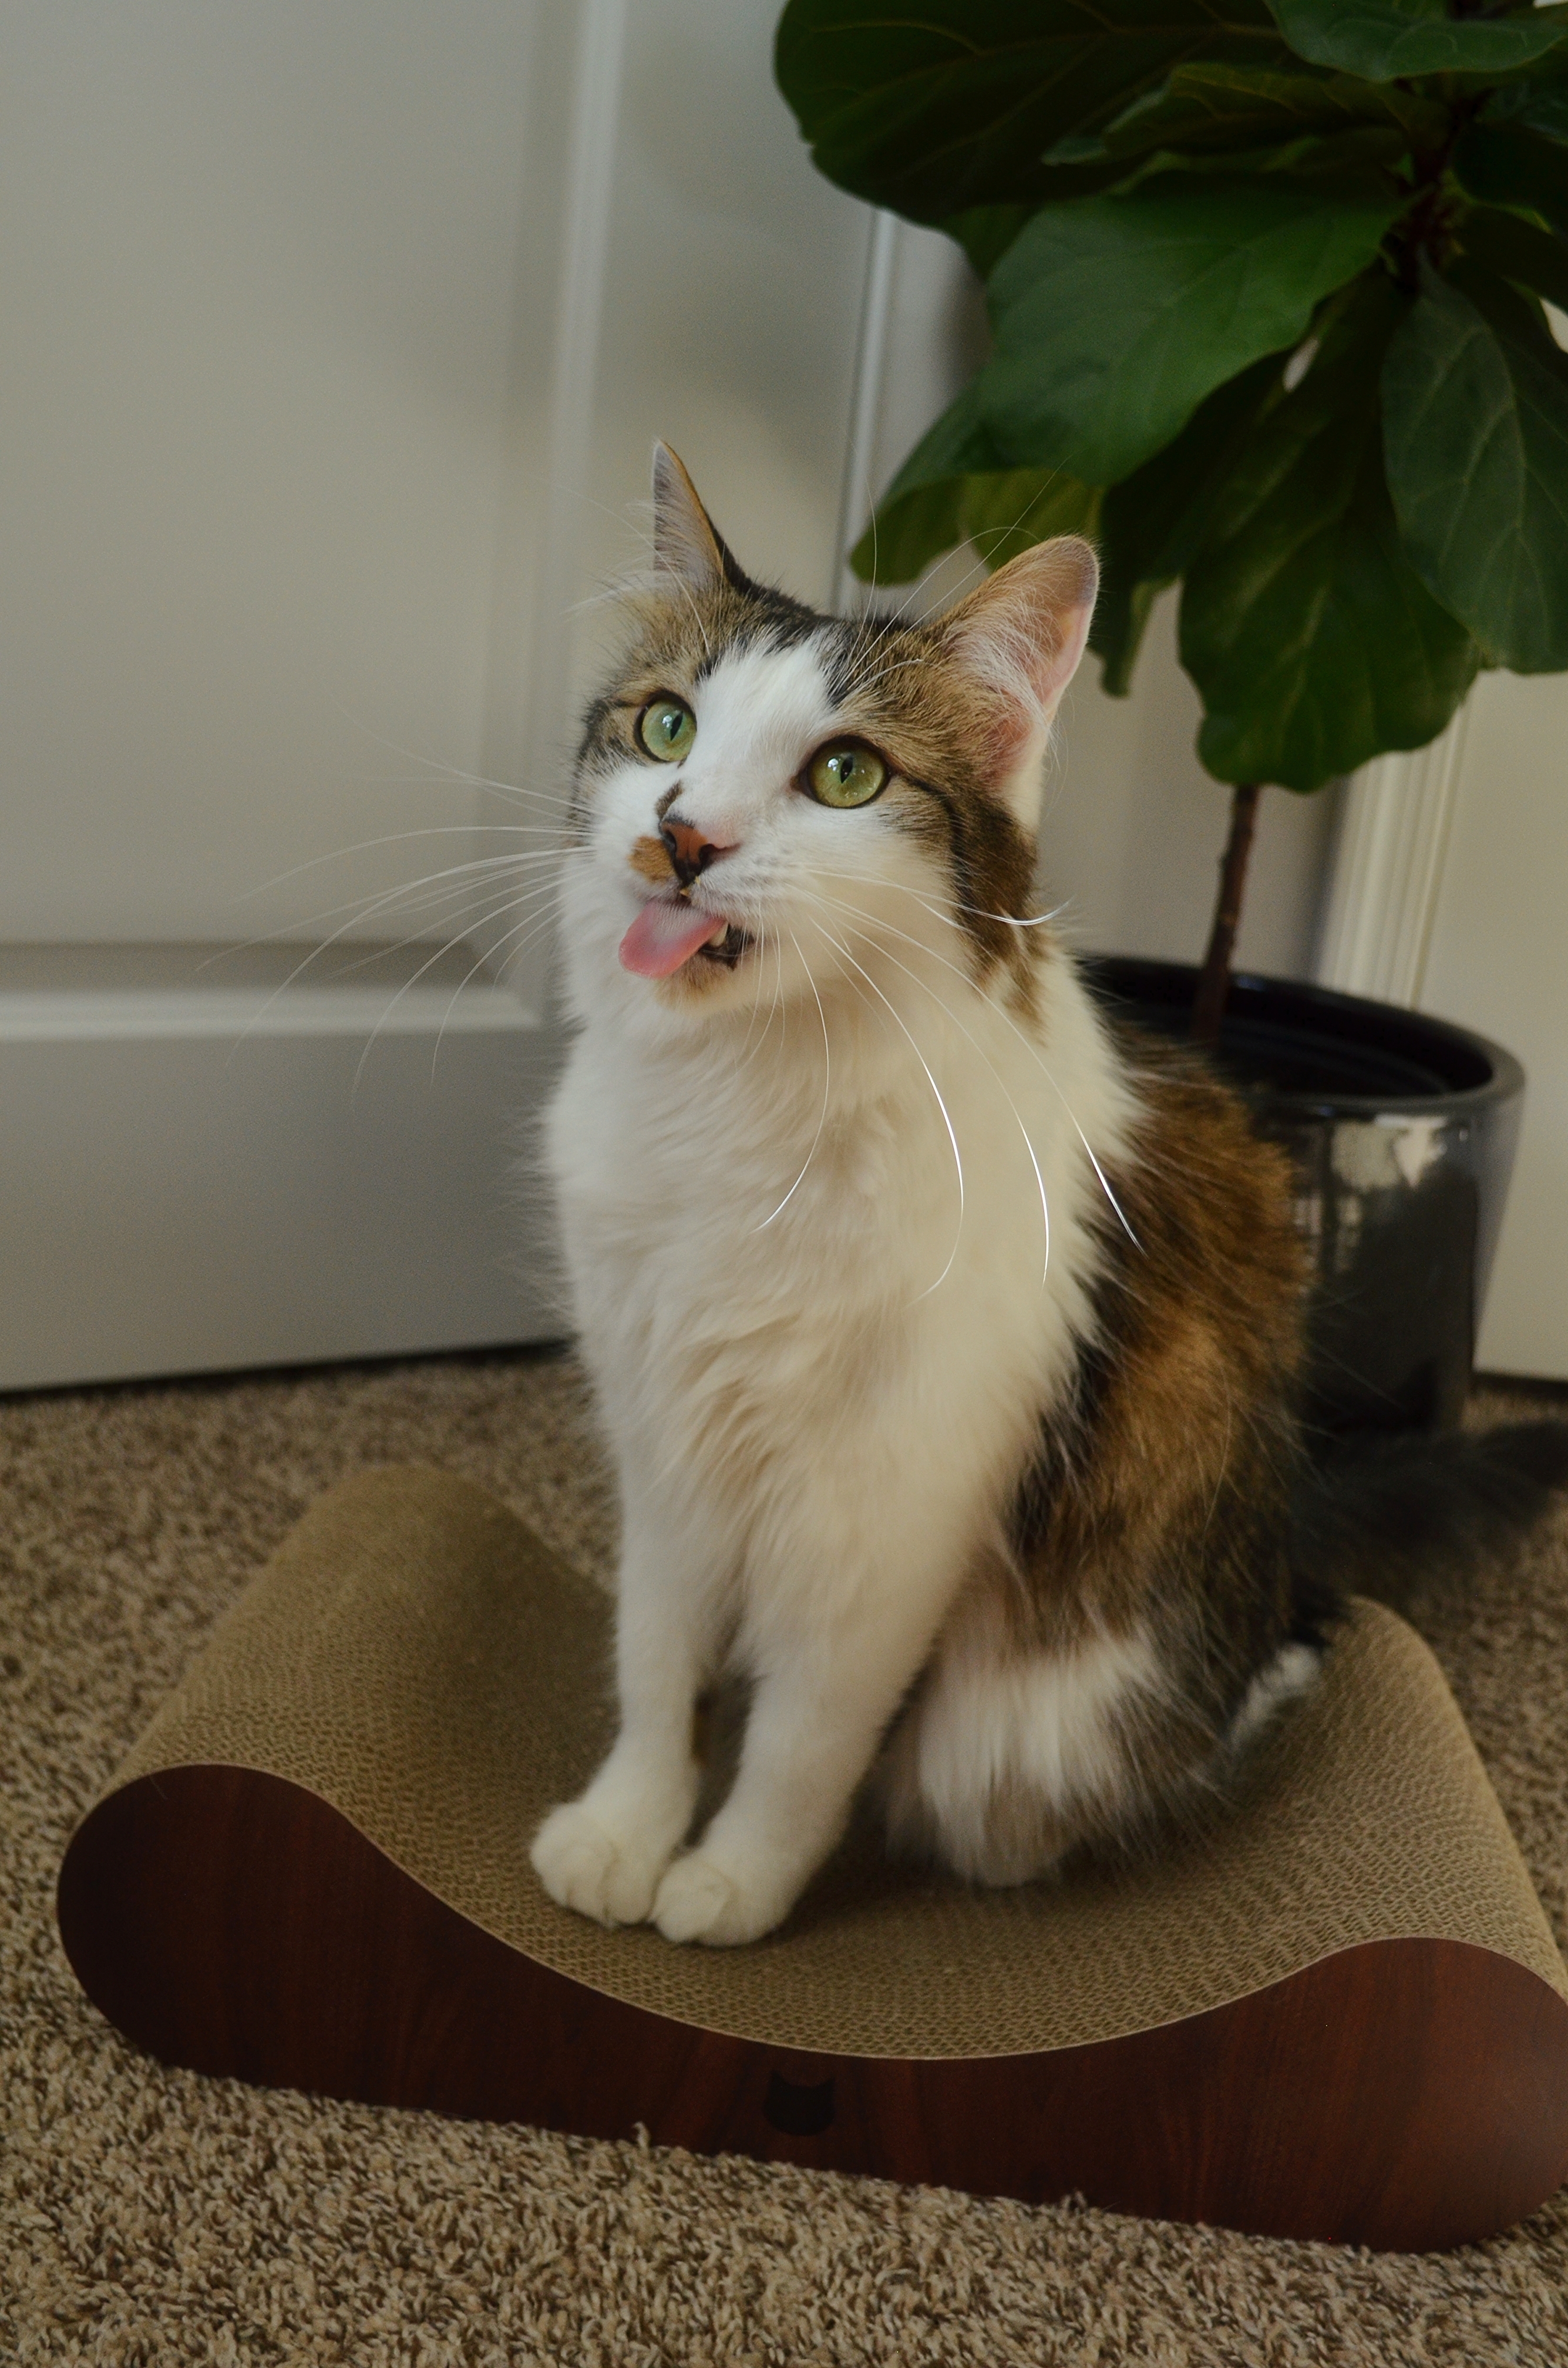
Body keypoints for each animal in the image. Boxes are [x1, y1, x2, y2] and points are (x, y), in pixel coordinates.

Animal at [535, 440, 1563, 1942]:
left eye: (845, 774)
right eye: (666, 731)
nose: (685, 840)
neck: (739, 1104)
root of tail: (1280, 1518)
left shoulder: (896, 1508)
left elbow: (801, 1734)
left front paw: (734, 1879)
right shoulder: (662, 1433)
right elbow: (655, 1661)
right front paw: (626, 1828)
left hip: (1049, 1713)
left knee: (1241, 1678)